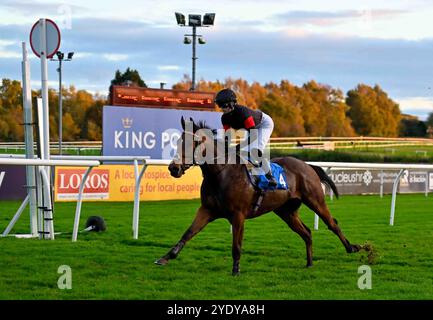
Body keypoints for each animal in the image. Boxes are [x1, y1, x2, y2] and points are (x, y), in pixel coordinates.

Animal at [155, 117, 362, 276]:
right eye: (178, 142)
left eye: (196, 142)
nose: (173, 168)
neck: (220, 174)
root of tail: (308, 165)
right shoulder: (207, 209)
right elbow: (188, 233)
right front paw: (165, 257)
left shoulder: (238, 215)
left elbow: (236, 245)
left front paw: (236, 270)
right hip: (286, 211)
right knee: (306, 232)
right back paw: (309, 262)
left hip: (315, 200)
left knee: (332, 224)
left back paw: (351, 247)